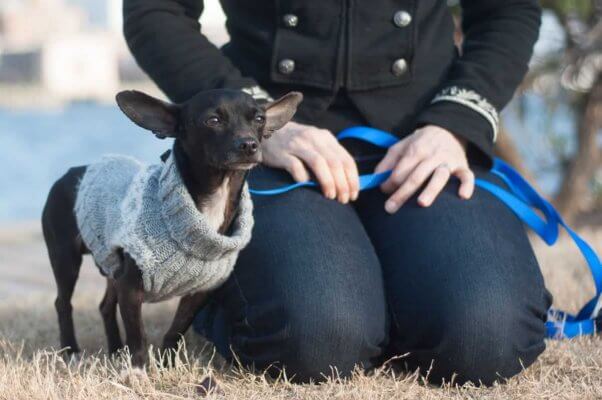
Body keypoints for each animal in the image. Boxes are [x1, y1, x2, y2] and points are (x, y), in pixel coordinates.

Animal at [41, 89, 302, 368]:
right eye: (213, 120)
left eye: (259, 119)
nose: (249, 144)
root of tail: (70, 173)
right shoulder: (130, 289)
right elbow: (138, 336)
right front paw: (138, 369)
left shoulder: (198, 293)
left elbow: (175, 330)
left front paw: (167, 364)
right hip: (65, 258)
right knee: (62, 303)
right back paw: (71, 351)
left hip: (111, 265)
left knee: (105, 306)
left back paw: (115, 351)